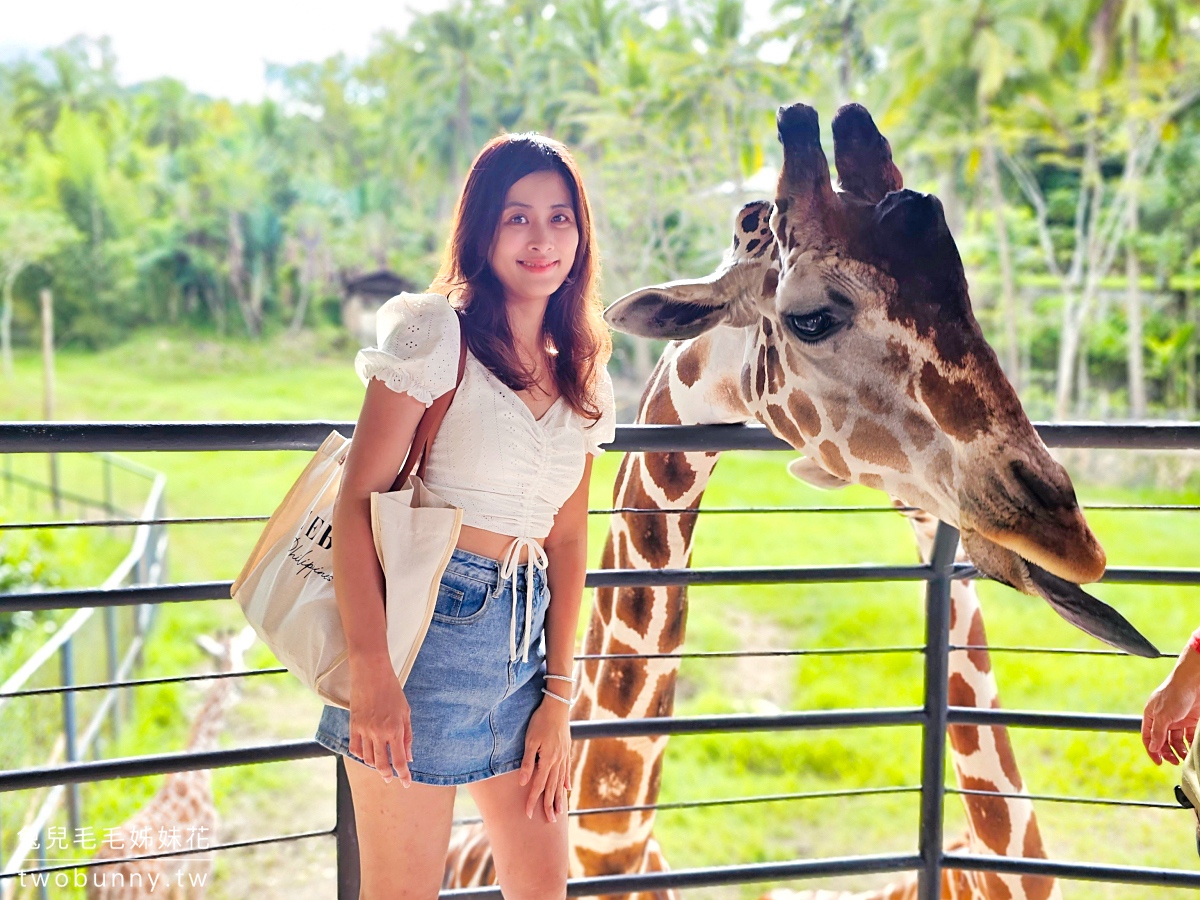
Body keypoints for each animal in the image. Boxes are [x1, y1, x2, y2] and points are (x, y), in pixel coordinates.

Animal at [85, 628, 256, 900]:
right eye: (240, 654)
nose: (240, 684)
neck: (200, 773)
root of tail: (103, 885)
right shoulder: (203, 858)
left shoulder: (176, 880)